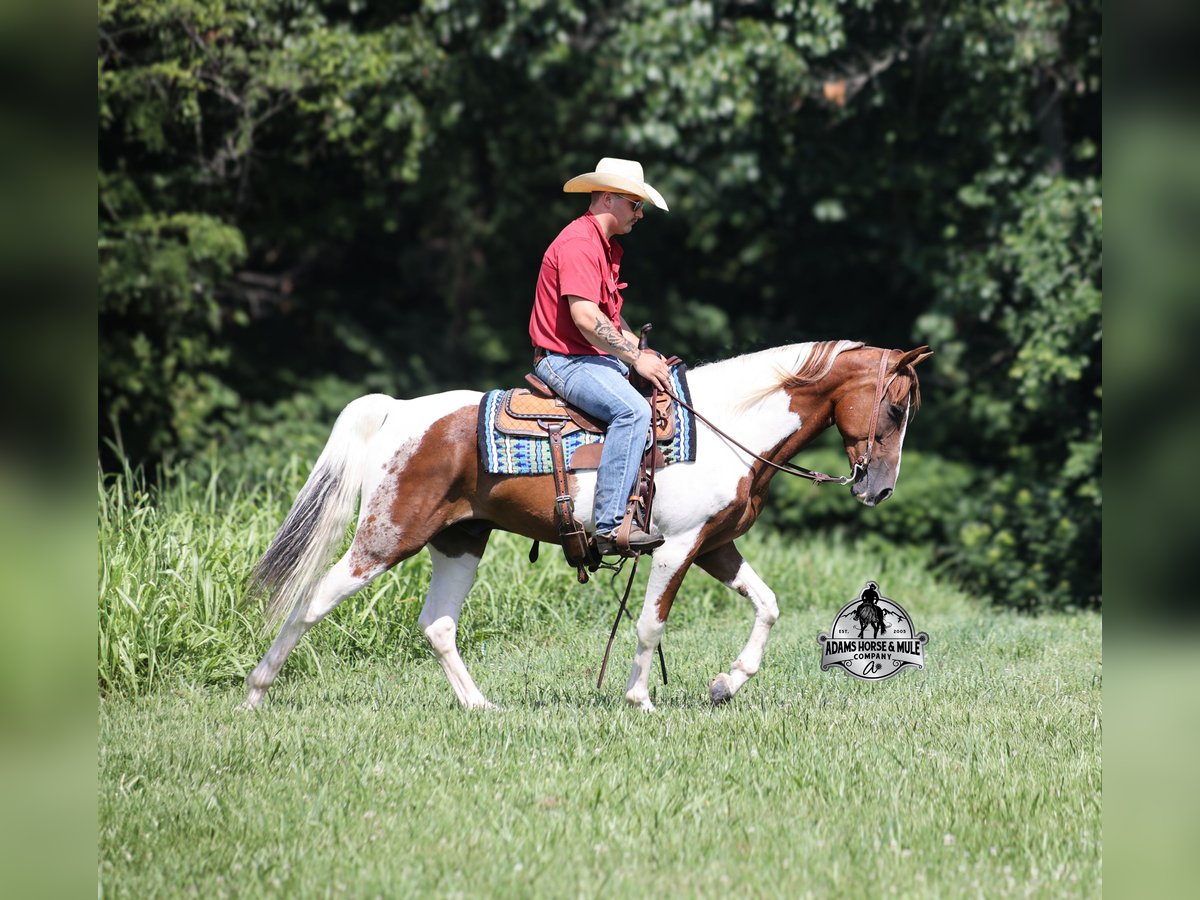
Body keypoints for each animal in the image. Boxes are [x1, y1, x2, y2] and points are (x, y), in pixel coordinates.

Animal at [242, 340, 932, 712]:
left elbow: (768, 605)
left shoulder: (716, 544)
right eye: (897, 408)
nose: (879, 487)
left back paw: (480, 706)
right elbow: (651, 623)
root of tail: (401, 412)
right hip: (387, 537)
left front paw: (724, 685)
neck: (723, 430)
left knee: (437, 625)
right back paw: (255, 690)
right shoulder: (676, 546)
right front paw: (640, 699)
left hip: (459, 542)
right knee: (313, 600)